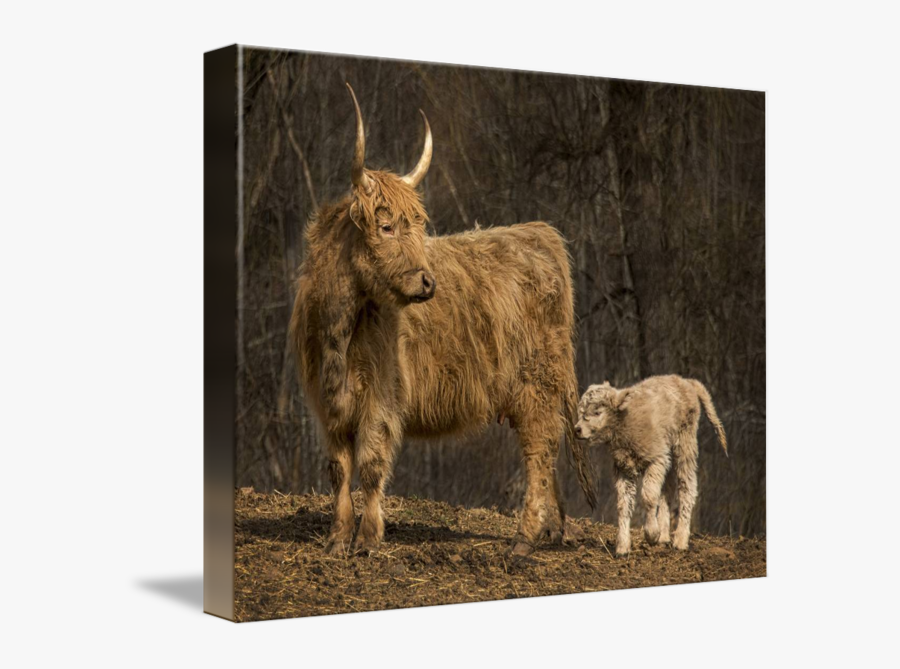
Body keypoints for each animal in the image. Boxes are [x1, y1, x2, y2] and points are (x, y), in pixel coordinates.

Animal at [289, 84, 595, 557]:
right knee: (551, 453)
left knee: (540, 454)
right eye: (386, 226)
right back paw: (553, 530)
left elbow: (372, 464)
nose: (427, 282)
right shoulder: (327, 406)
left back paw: (524, 539)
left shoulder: (382, 397)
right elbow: (338, 469)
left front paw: (368, 539)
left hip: (537, 386)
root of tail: (538, 233)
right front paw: (337, 540)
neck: (338, 332)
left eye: (419, 225)